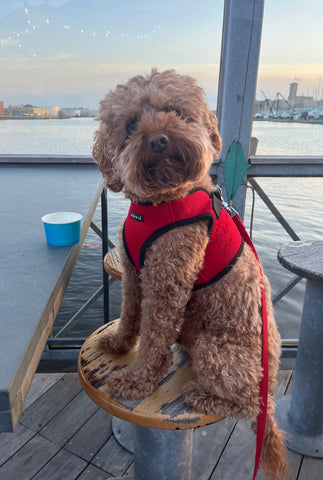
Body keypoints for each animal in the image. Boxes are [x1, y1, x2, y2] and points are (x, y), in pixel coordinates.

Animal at [93, 69, 288, 478]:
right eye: (131, 124)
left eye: (176, 112)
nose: (158, 139)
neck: (159, 203)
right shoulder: (134, 273)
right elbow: (129, 315)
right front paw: (119, 343)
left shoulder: (166, 279)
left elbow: (153, 338)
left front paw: (137, 380)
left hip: (219, 354)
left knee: (245, 405)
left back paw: (202, 395)